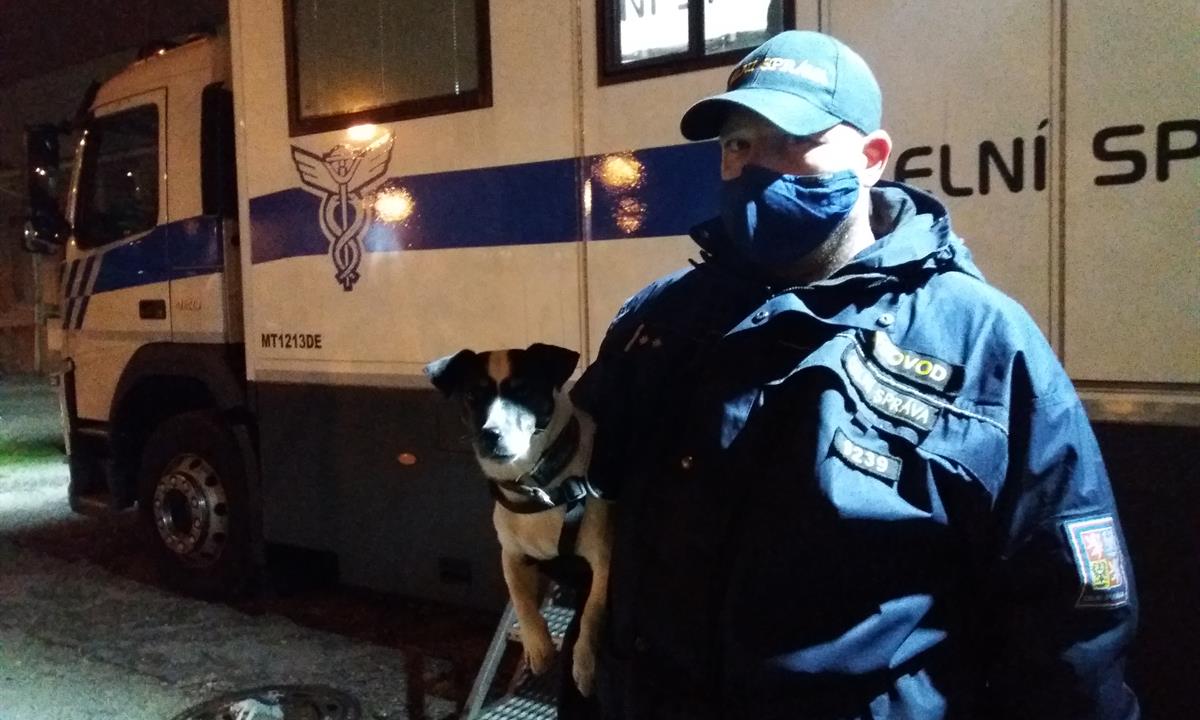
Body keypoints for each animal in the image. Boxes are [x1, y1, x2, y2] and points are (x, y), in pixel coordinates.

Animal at [425, 343, 611, 699]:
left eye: (524, 390)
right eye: (473, 394)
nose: (490, 435)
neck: (539, 487)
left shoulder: (604, 559)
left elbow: (593, 612)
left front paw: (584, 662)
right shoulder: (512, 555)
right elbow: (521, 601)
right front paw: (537, 648)